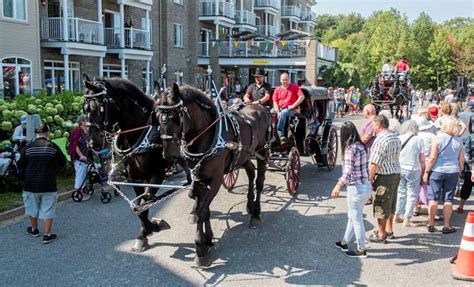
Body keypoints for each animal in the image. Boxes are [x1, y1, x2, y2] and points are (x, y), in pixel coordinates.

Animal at [83, 77, 191, 254]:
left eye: (99, 107)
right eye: (85, 108)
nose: (93, 143)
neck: (142, 134)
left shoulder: (157, 174)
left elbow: (144, 203)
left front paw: (154, 226)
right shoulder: (135, 178)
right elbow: (139, 208)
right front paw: (144, 233)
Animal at [157, 83, 272, 268]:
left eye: (175, 116)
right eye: (158, 117)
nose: (169, 154)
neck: (206, 136)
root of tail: (261, 108)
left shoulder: (216, 180)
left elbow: (202, 210)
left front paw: (200, 248)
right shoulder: (198, 178)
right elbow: (204, 210)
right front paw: (208, 239)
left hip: (263, 152)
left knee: (260, 181)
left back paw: (256, 213)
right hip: (244, 155)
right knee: (250, 172)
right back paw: (249, 204)